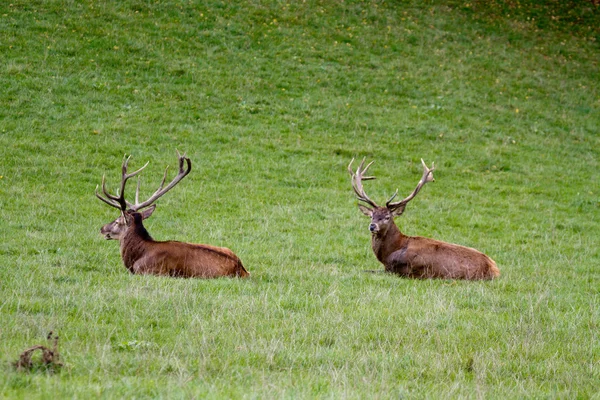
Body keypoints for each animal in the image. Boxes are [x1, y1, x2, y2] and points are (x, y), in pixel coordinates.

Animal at [350, 158, 500, 280]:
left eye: (387, 217)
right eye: (372, 215)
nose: (372, 226)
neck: (389, 253)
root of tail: (495, 270)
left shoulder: (398, 270)